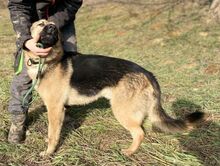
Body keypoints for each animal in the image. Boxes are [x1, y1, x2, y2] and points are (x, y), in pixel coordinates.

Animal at [25, 20, 205, 156]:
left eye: (54, 27)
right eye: (41, 24)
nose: (52, 27)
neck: (48, 60)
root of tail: (147, 73)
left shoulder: (55, 109)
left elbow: (52, 135)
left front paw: (49, 152)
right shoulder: (58, 110)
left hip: (121, 111)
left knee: (139, 133)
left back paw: (129, 151)